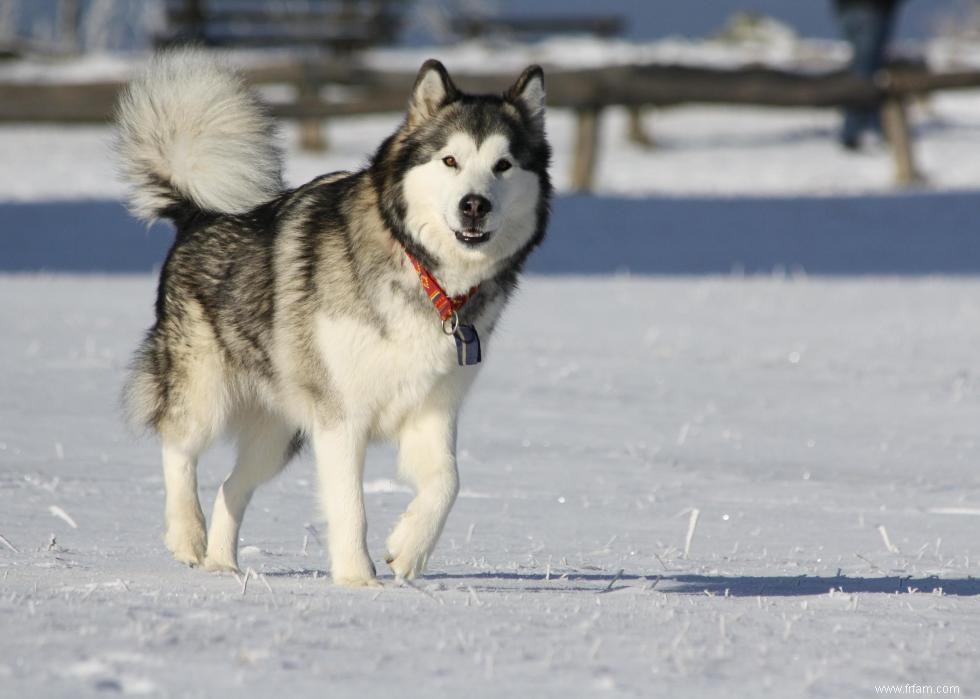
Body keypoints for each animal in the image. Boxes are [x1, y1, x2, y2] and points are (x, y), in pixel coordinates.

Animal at [115, 50, 552, 584]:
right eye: (450, 160)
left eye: (503, 165)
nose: (475, 205)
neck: (423, 272)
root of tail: (198, 213)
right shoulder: (341, 417)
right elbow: (350, 506)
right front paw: (358, 580)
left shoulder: (432, 408)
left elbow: (448, 482)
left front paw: (408, 550)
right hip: (205, 390)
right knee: (178, 446)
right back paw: (187, 534)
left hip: (280, 433)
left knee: (231, 486)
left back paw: (223, 565)